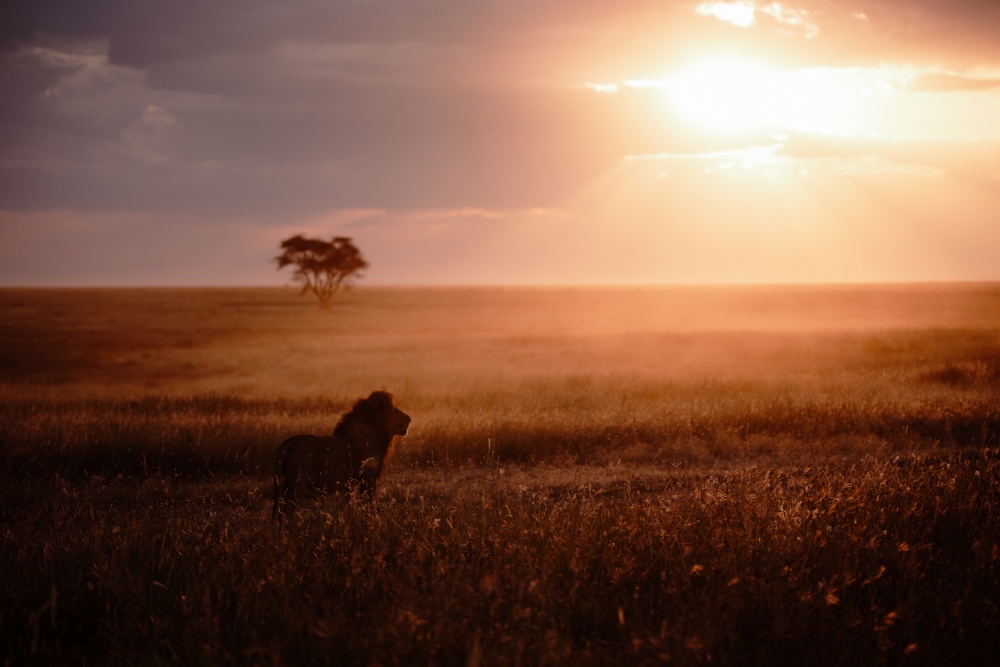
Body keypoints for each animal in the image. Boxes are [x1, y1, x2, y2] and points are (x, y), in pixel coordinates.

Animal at [272, 391, 410, 518]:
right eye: (396, 411)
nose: (410, 418)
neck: (375, 432)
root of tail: (287, 444)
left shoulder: (347, 485)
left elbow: (347, 505)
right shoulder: (368, 478)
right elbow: (367, 504)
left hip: (283, 486)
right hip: (296, 486)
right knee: (288, 513)